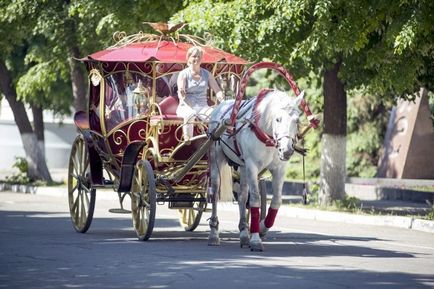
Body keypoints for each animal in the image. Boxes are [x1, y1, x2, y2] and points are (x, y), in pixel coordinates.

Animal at [208, 89, 304, 251]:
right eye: (278, 119)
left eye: (296, 121)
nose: (287, 151)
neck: (265, 134)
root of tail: (220, 106)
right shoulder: (252, 165)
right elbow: (255, 199)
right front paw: (255, 239)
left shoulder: (279, 169)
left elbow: (276, 201)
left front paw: (262, 227)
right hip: (217, 159)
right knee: (214, 194)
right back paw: (214, 234)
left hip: (243, 166)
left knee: (241, 196)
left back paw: (244, 233)